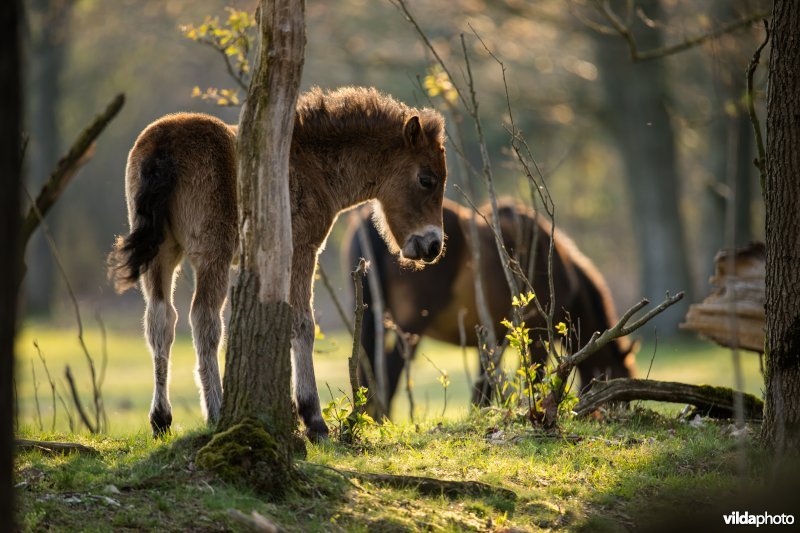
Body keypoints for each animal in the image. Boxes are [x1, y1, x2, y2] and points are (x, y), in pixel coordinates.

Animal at [107, 86, 446, 436]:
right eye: (427, 179)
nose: (433, 245)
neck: (311, 164)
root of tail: (164, 145)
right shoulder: (303, 250)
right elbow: (302, 323)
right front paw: (312, 418)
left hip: (161, 252)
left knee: (160, 320)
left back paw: (161, 419)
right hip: (212, 253)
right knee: (204, 320)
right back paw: (216, 412)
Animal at [346, 197, 636, 414]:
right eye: (616, 375)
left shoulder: (490, 338)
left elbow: (482, 387)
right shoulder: (537, 337)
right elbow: (534, 378)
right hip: (411, 328)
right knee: (390, 371)